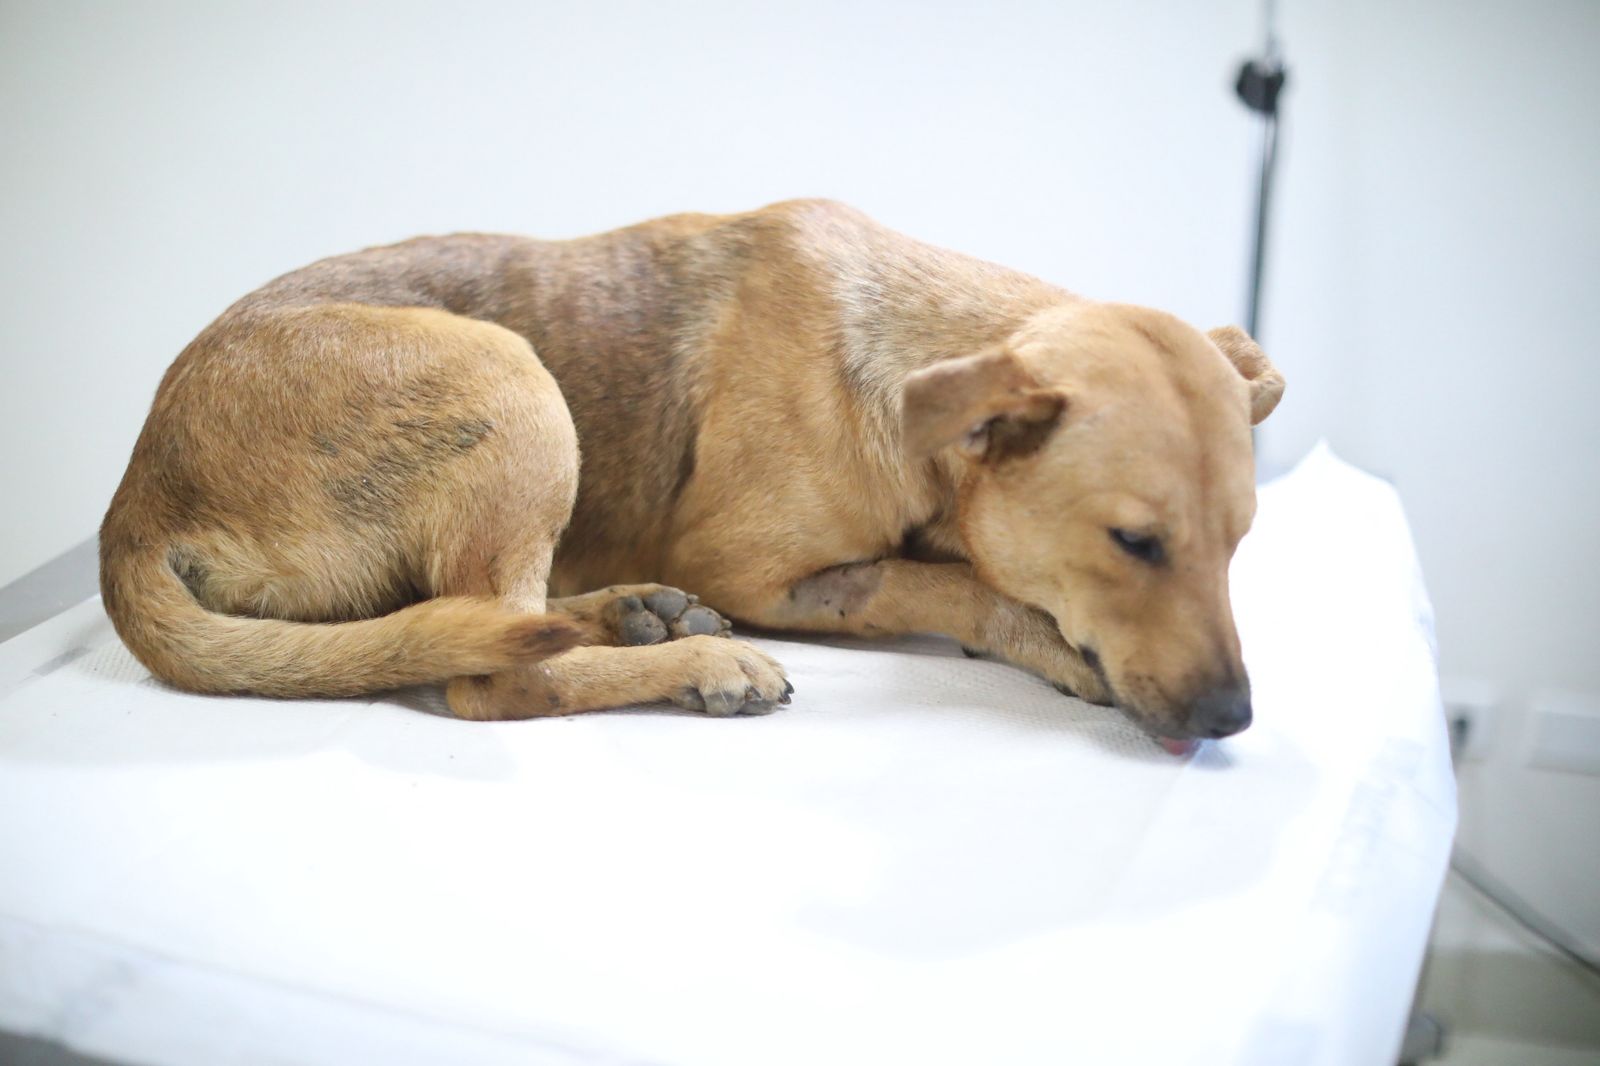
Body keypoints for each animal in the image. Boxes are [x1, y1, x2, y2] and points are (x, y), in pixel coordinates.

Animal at [100, 199, 1283, 747]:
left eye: (1242, 543)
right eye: (1134, 543)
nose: (1233, 719)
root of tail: (134, 505)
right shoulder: (756, 571)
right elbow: (938, 580)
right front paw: (1039, 635)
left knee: (478, 617)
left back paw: (637, 613)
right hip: (513, 381)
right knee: (496, 672)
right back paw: (697, 660)